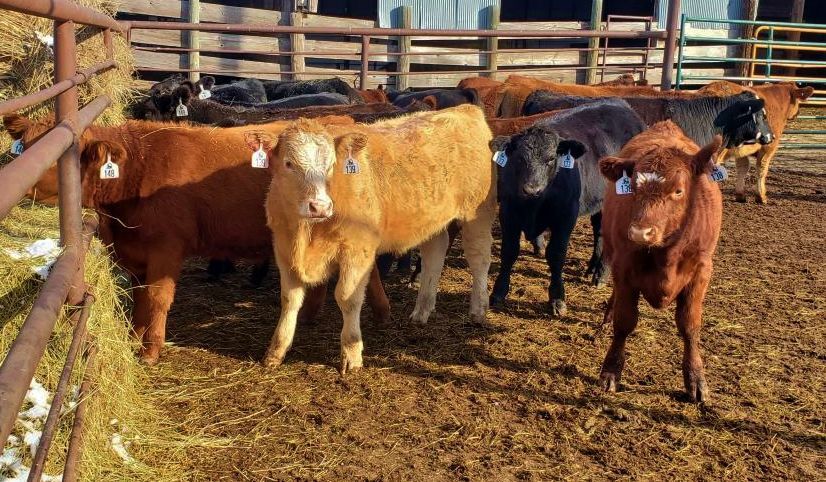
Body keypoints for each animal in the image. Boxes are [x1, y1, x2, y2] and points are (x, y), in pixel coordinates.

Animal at [3, 114, 392, 365]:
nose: (14, 172)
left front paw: (151, 350)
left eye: (61, 156)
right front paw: (134, 338)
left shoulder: (166, 248)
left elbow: (158, 297)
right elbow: (139, 298)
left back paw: (379, 311)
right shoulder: (133, 253)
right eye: (24, 144)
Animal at [255, 104, 496, 373]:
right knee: (435, 251)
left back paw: (478, 310)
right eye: (288, 163)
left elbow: (347, 297)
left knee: (478, 257)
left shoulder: (357, 250)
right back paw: (421, 311)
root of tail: (465, 109)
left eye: (331, 164)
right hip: (432, 219)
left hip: (478, 213)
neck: (306, 232)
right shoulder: (284, 250)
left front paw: (351, 354)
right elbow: (289, 299)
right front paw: (275, 351)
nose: (320, 206)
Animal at [490, 100, 647, 316]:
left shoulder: (565, 216)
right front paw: (498, 292)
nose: (532, 189)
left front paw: (557, 298)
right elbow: (509, 251)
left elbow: (556, 254)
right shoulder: (508, 212)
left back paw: (601, 275)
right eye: (519, 158)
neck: (534, 205)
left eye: (551, 159)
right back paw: (592, 268)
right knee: (599, 230)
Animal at [598, 121, 724, 402]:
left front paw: (696, 379)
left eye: (678, 190)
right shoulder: (623, 267)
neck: (667, 251)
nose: (639, 233)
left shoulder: (701, 271)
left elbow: (690, 326)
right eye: (632, 188)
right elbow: (624, 321)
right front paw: (611, 370)